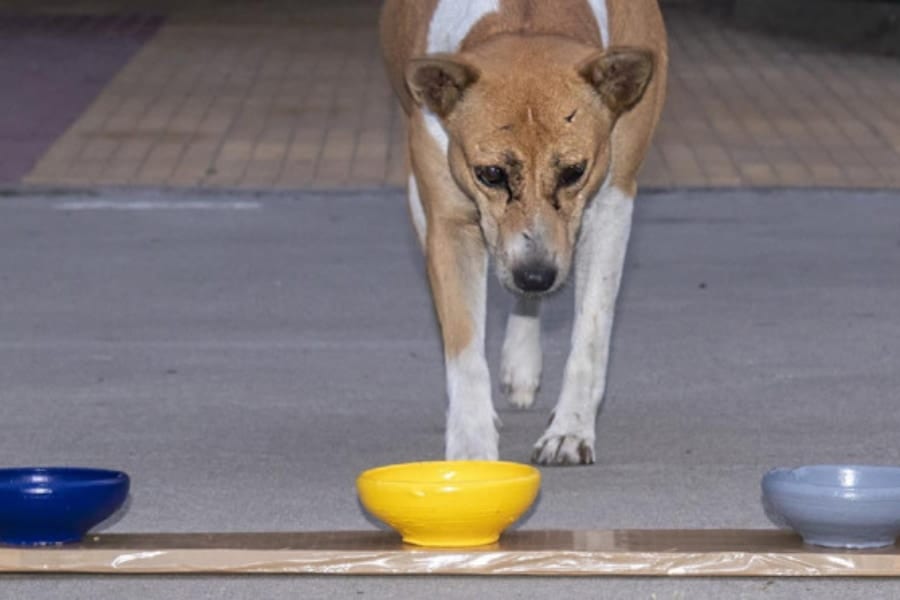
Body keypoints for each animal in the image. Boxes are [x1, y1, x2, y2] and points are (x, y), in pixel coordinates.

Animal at [376, 0, 664, 466]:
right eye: (491, 173)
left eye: (574, 171)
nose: (536, 275)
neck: (528, 17)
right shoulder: (449, 219)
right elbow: (463, 343)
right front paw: (472, 446)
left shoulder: (611, 202)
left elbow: (591, 331)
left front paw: (570, 429)